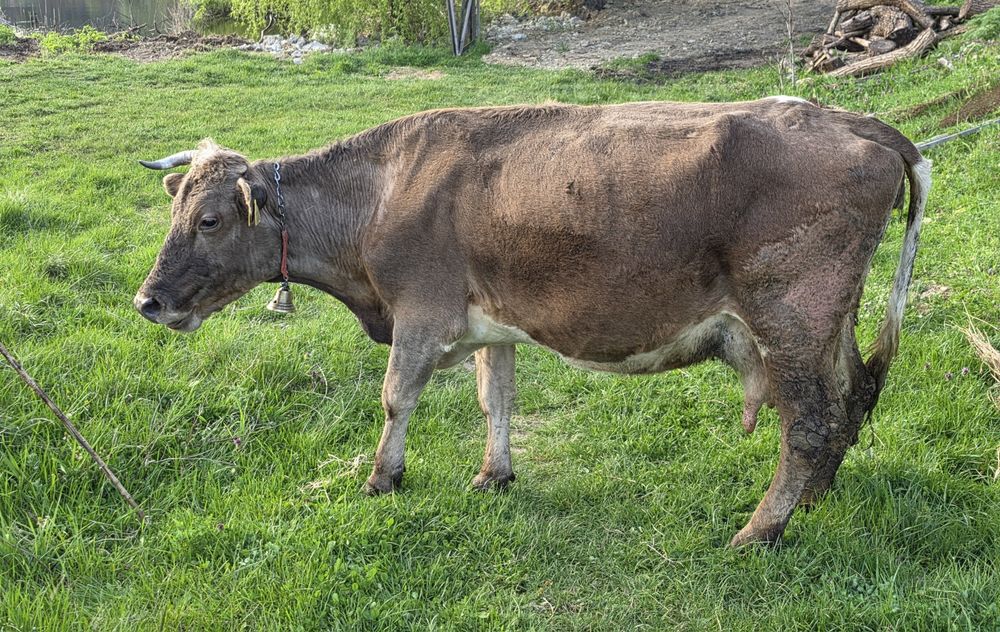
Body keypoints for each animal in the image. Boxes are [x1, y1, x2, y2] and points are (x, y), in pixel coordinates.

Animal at [134, 98, 930, 546]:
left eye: (209, 220)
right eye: (176, 209)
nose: (148, 302)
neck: (382, 191)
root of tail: (858, 122)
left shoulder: (421, 312)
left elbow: (396, 398)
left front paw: (382, 477)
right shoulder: (493, 324)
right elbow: (497, 398)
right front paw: (495, 473)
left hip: (789, 317)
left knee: (810, 423)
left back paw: (760, 529)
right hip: (830, 324)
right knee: (852, 397)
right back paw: (813, 499)